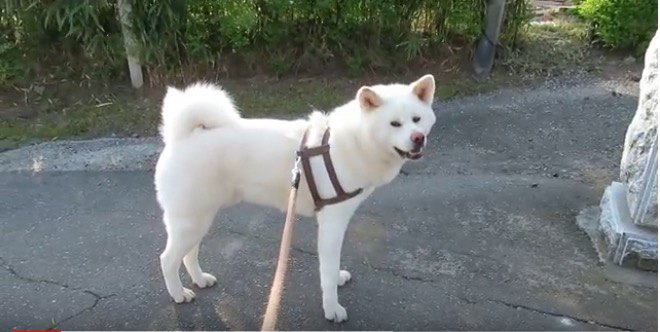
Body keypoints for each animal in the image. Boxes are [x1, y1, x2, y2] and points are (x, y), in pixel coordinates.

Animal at [152, 74, 436, 322]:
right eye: (394, 124)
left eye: (417, 119)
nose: (418, 138)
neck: (354, 141)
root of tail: (182, 136)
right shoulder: (333, 220)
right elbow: (327, 270)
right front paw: (332, 309)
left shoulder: (333, 222)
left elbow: (332, 265)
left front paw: (337, 281)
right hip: (191, 221)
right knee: (167, 260)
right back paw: (179, 294)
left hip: (199, 219)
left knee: (188, 255)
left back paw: (200, 280)